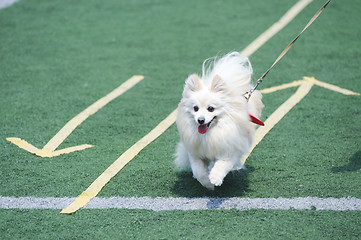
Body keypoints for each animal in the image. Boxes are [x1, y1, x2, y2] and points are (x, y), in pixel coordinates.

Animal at [174, 51, 262, 190]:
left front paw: (215, 179)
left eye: (210, 108)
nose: (200, 120)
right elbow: (199, 171)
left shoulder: (228, 151)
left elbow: (221, 165)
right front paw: (207, 184)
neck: (210, 134)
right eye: (195, 108)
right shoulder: (195, 153)